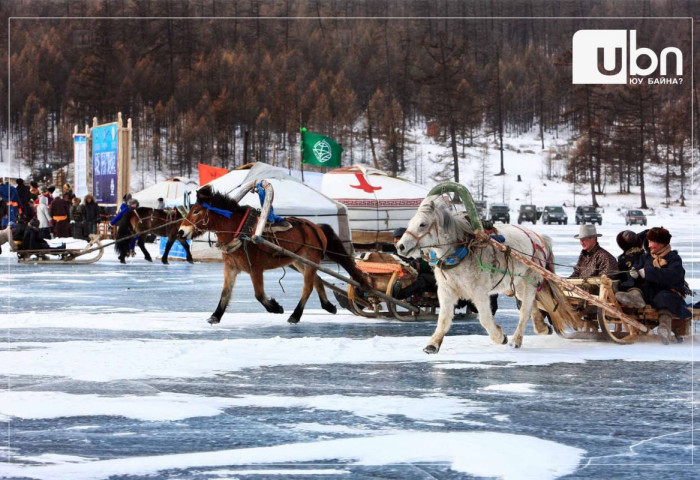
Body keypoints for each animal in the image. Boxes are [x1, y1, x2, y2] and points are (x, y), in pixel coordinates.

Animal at [178, 186, 370, 324]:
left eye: (196, 211)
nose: (181, 231)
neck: (240, 231)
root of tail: (316, 227)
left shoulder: (255, 268)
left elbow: (259, 294)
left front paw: (275, 307)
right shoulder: (231, 267)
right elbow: (225, 292)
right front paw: (216, 315)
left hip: (310, 259)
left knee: (307, 287)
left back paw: (296, 315)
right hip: (299, 261)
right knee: (317, 280)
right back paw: (328, 306)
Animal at [400, 195, 556, 352]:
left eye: (423, 224)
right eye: (410, 222)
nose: (401, 246)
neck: (463, 249)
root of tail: (538, 237)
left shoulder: (479, 292)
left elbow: (485, 319)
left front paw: (500, 336)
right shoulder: (446, 290)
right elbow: (443, 319)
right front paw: (432, 344)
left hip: (530, 280)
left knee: (525, 310)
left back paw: (516, 340)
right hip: (518, 285)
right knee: (531, 305)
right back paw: (541, 327)